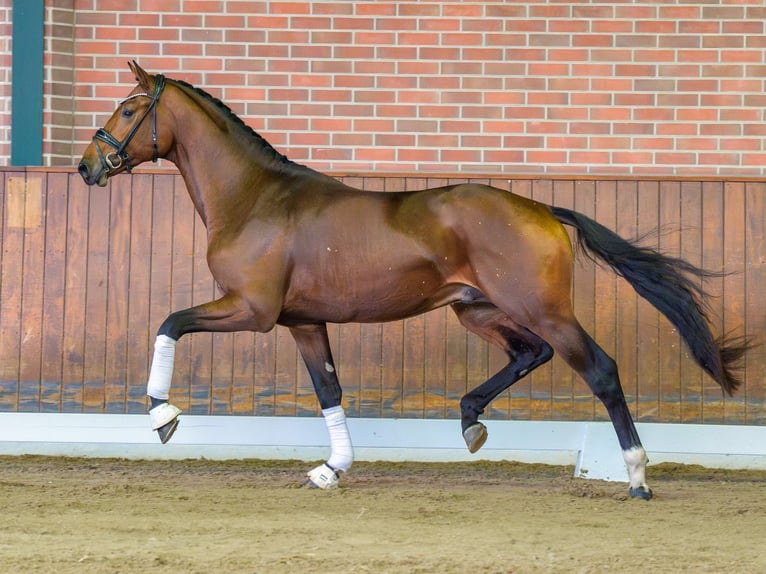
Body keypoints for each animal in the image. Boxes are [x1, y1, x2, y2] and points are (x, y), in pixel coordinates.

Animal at [79, 63, 752, 500]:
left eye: (130, 108)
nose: (89, 166)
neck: (257, 199)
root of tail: (541, 208)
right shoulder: (303, 321)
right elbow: (329, 391)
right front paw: (332, 469)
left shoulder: (252, 309)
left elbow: (170, 322)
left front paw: (162, 415)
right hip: (478, 309)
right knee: (529, 355)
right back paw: (471, 421)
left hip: (541, 309)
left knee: (601, 370)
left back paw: (636, 476)